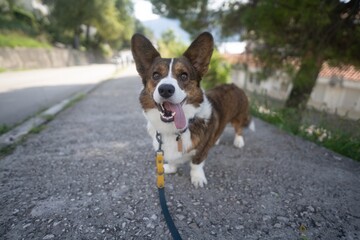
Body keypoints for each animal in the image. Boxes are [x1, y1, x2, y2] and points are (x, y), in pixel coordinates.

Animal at [131, 31, 252, 188]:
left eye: (184, 75)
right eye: (155, 75)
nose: (165, 89)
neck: (174, 129)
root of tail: (234, 85)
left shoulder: (201, 151)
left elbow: (196, 164)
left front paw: (197, 178)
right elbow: (172, 160)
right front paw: (171, 168)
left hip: (239, 115)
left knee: (238, 128)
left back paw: (238, 141)